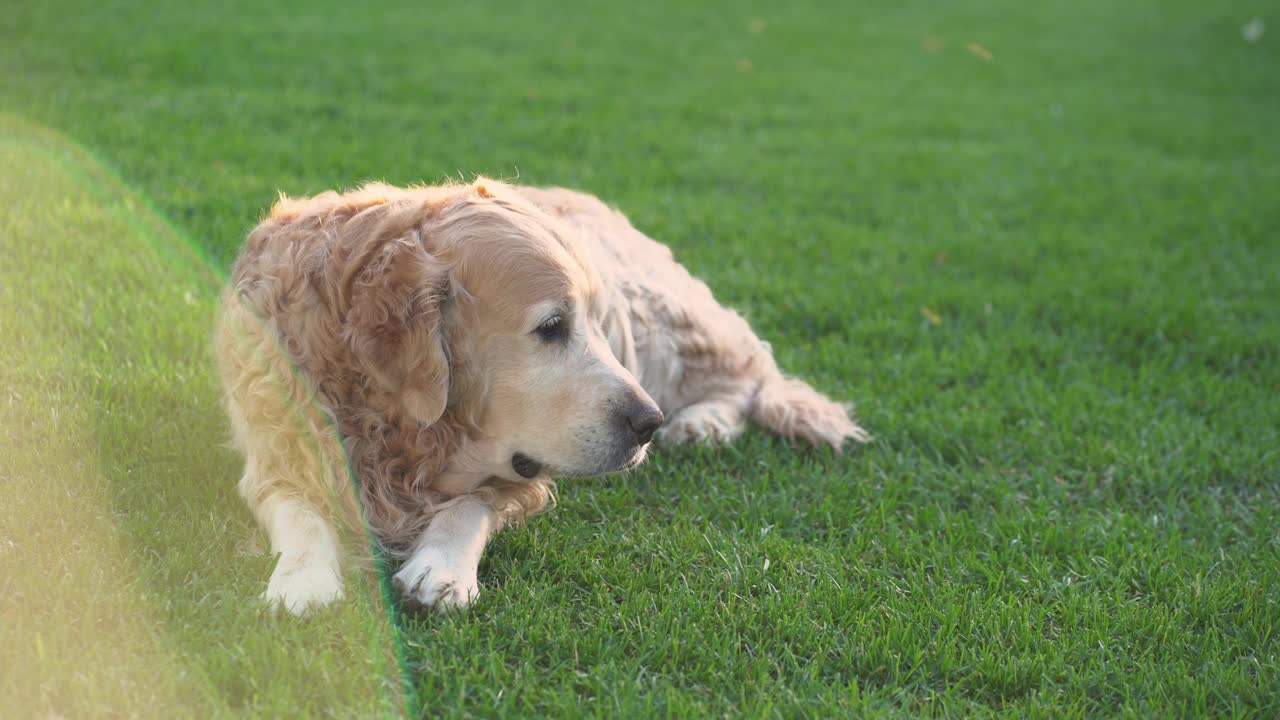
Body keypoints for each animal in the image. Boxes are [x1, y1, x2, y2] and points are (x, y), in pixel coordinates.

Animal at [215, 178, 870, 609]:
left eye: (592, 323)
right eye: (552, 327)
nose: (648, 424)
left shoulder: (520, 474)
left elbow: (470, 505)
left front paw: (440, 565)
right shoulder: (272, 447)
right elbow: (300, 511)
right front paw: (304, 578)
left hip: (663, 325)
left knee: (753, 370)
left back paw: (703, 421)